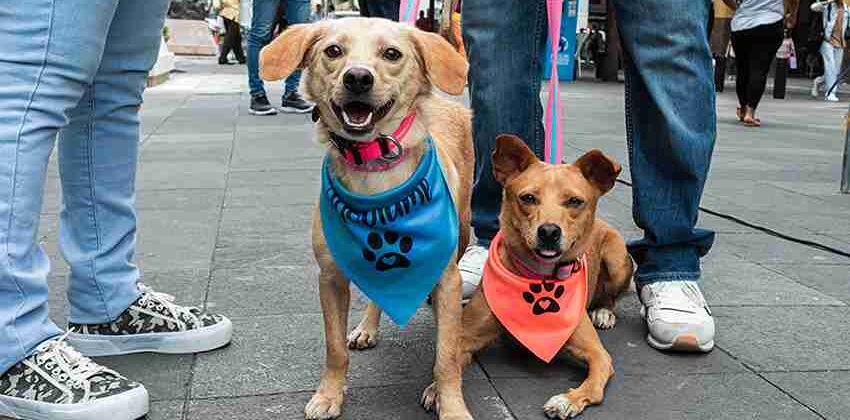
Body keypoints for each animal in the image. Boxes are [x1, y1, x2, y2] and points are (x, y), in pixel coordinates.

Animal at [258, 17, 476, 420]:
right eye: (333, 51)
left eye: (391, 53)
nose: (358, 77)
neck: (374, 169)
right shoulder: (330, 277)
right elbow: (334, 349)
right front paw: (329, 395)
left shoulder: (448, 279)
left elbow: (447, 354)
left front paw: (450, 404)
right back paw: (366, 328)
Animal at [420, 136, 632, 418]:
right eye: (528, 198)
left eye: (575, 201)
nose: (549, 231)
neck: (537, 277)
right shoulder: (465, 336)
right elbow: (449, 359)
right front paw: (438, 391)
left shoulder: (598, 354)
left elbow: (594, 382)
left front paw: (568, 400)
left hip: (617, 258)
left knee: (611, 294)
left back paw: (604, 312)